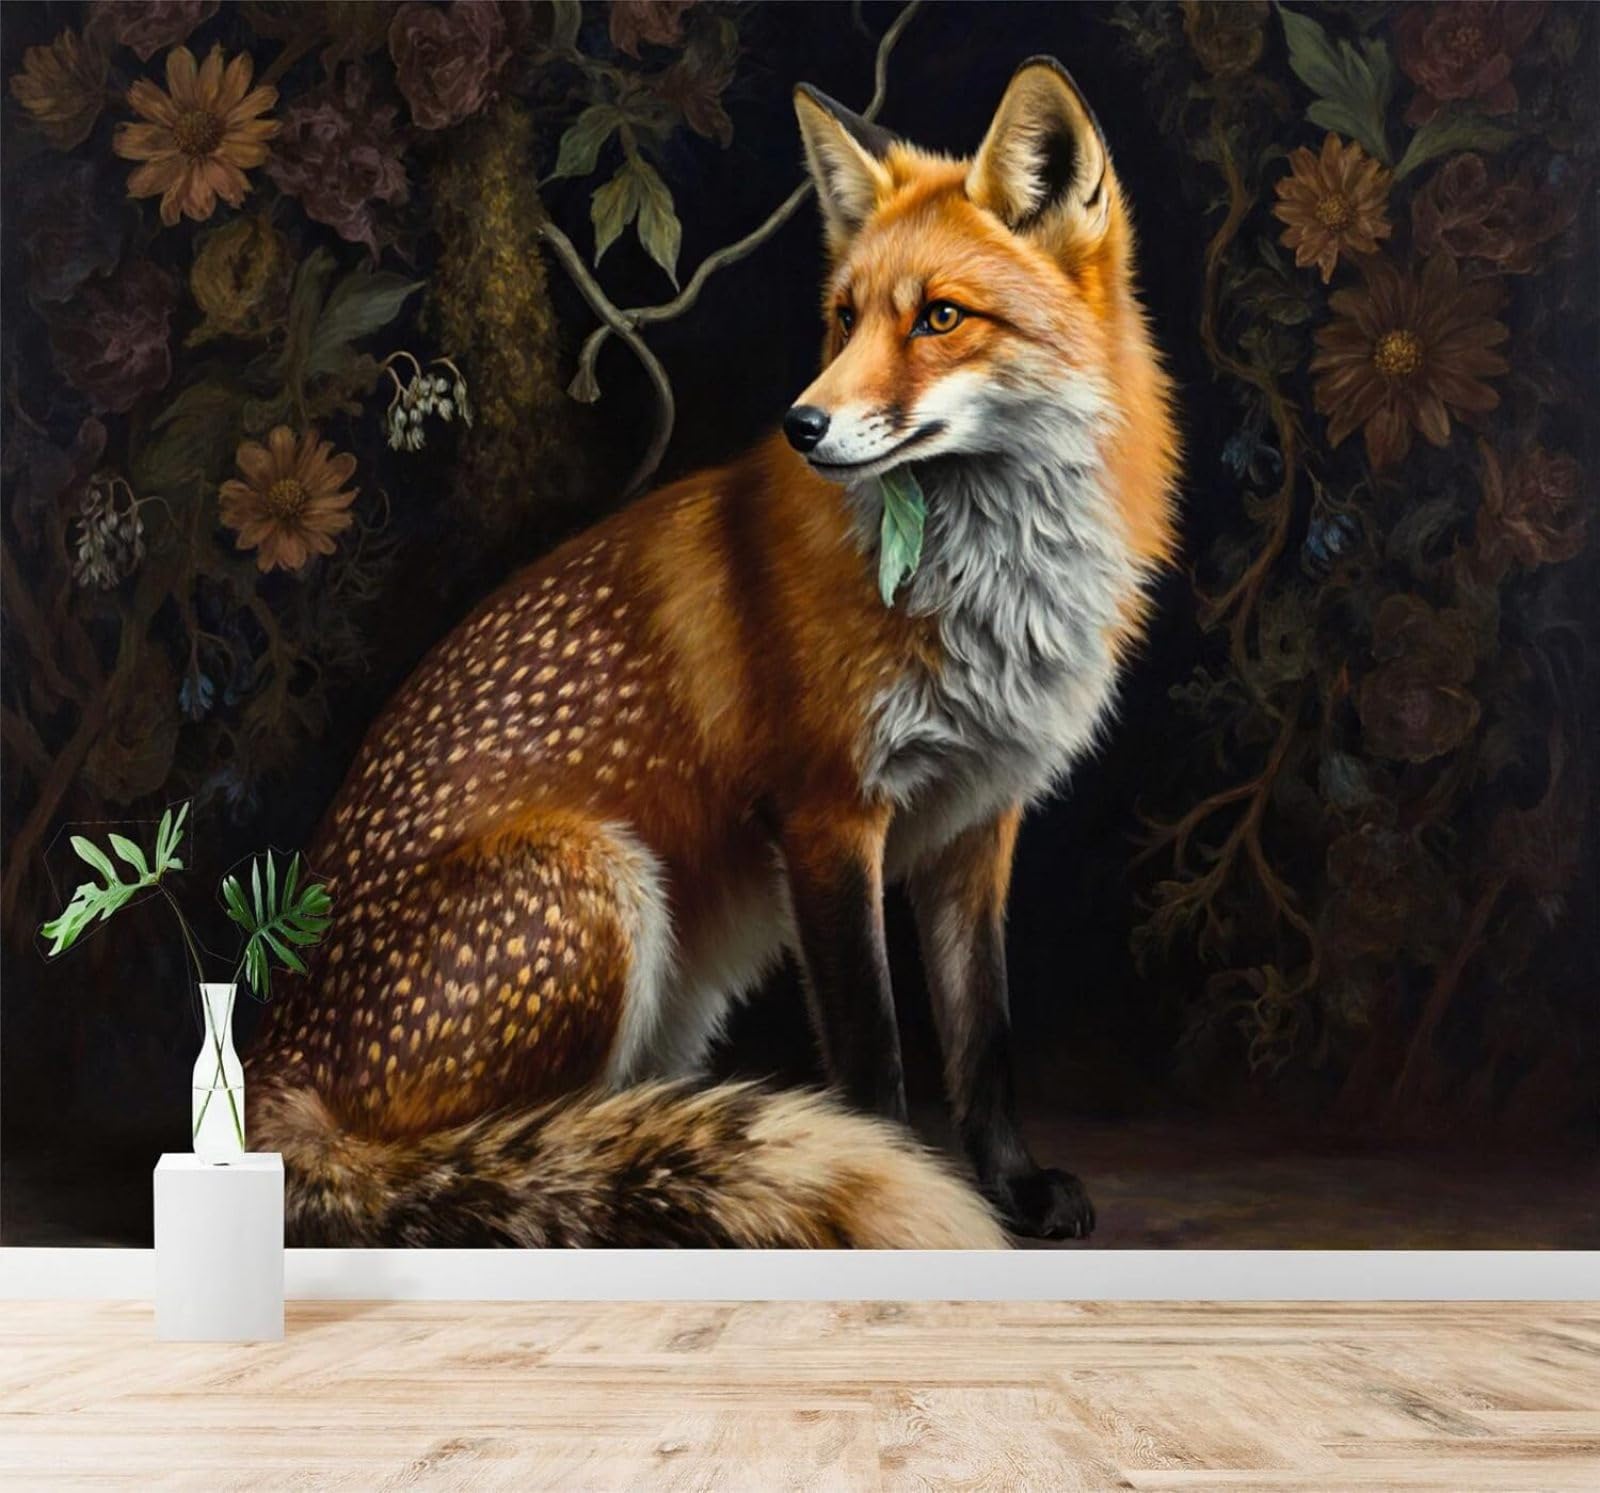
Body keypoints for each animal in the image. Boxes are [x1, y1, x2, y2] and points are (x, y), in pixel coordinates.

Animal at [246, 57, 1178, 1248]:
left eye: (940, 317)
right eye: (842, 319)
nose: (803, 426)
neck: (988, 594)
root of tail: (266, 1079)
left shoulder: (979, 818)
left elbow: (984, 1039)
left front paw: (1008, 1188)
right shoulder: (827, 813)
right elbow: (874, 1051)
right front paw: (907, 1175)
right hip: (594, 880)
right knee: (477, 1160)